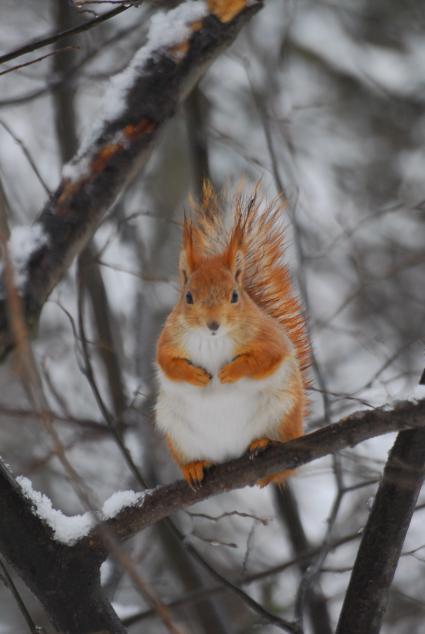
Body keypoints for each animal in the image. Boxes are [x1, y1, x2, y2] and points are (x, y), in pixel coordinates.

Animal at [156, 183, 308, 484]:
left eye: (235, 296)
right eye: (188, 297)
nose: (212, 324)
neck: (212, 341)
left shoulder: (268, 337)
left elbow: (266, 357)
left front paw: (230, 372)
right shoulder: (169, 339)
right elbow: (166, 362)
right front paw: (194, 375)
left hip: (282, 413)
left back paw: (262, 443)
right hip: (177, 435)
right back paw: (194, 467)